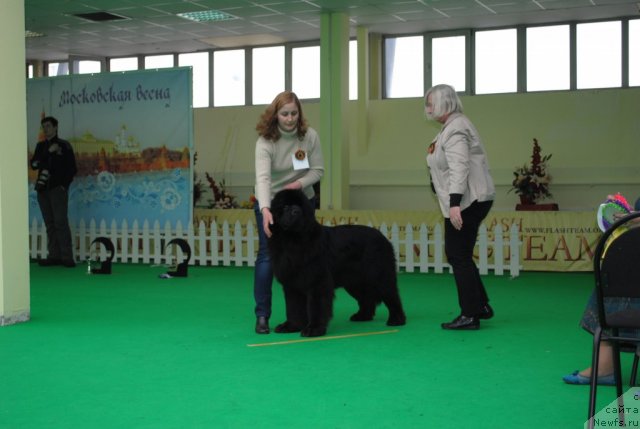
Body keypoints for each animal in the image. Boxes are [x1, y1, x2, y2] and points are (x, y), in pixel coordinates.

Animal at [268, 189, 408, 336]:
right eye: (285, 207)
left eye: (301, 206)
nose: (296, 211)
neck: (293, 240)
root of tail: (383, 237)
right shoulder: (292, 284)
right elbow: (293, 308)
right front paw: (291, 326)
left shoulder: (318, 282)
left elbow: (316, 307)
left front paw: (314, 329)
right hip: (355, 282)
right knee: (367, 299)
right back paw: (362, 316)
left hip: (380, 276)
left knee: (392, 296)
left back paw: (397, 319)